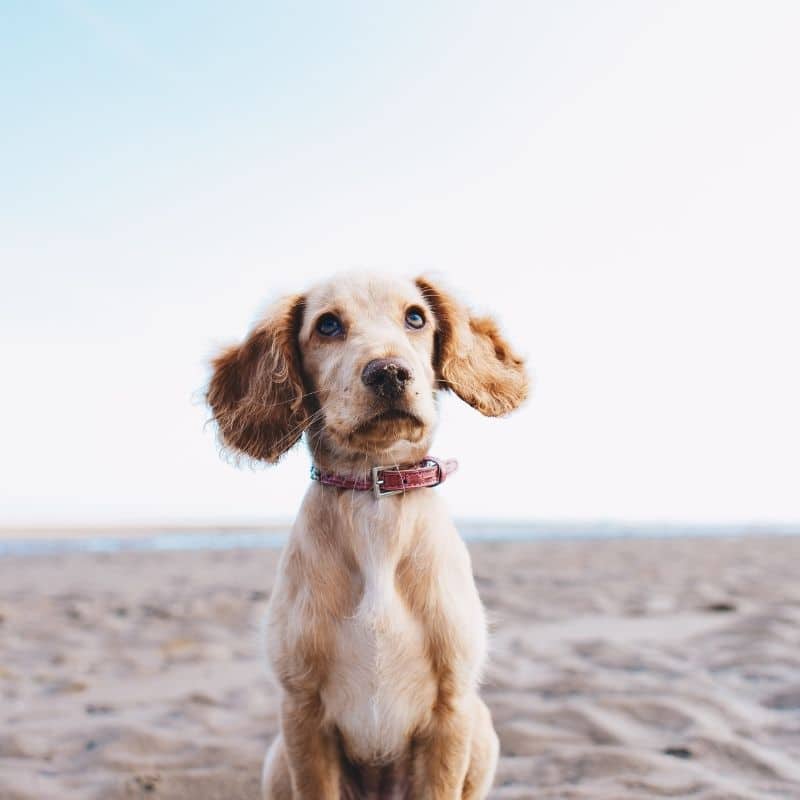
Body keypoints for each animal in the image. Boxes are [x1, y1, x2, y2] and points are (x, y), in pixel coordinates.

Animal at [209, 272, 528, 796]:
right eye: (327, 325)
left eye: (416, 317)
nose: (389, 373)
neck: (374, 496)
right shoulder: (301, 711)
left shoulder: (452, 709)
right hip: (277, 758)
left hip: (483, 731)